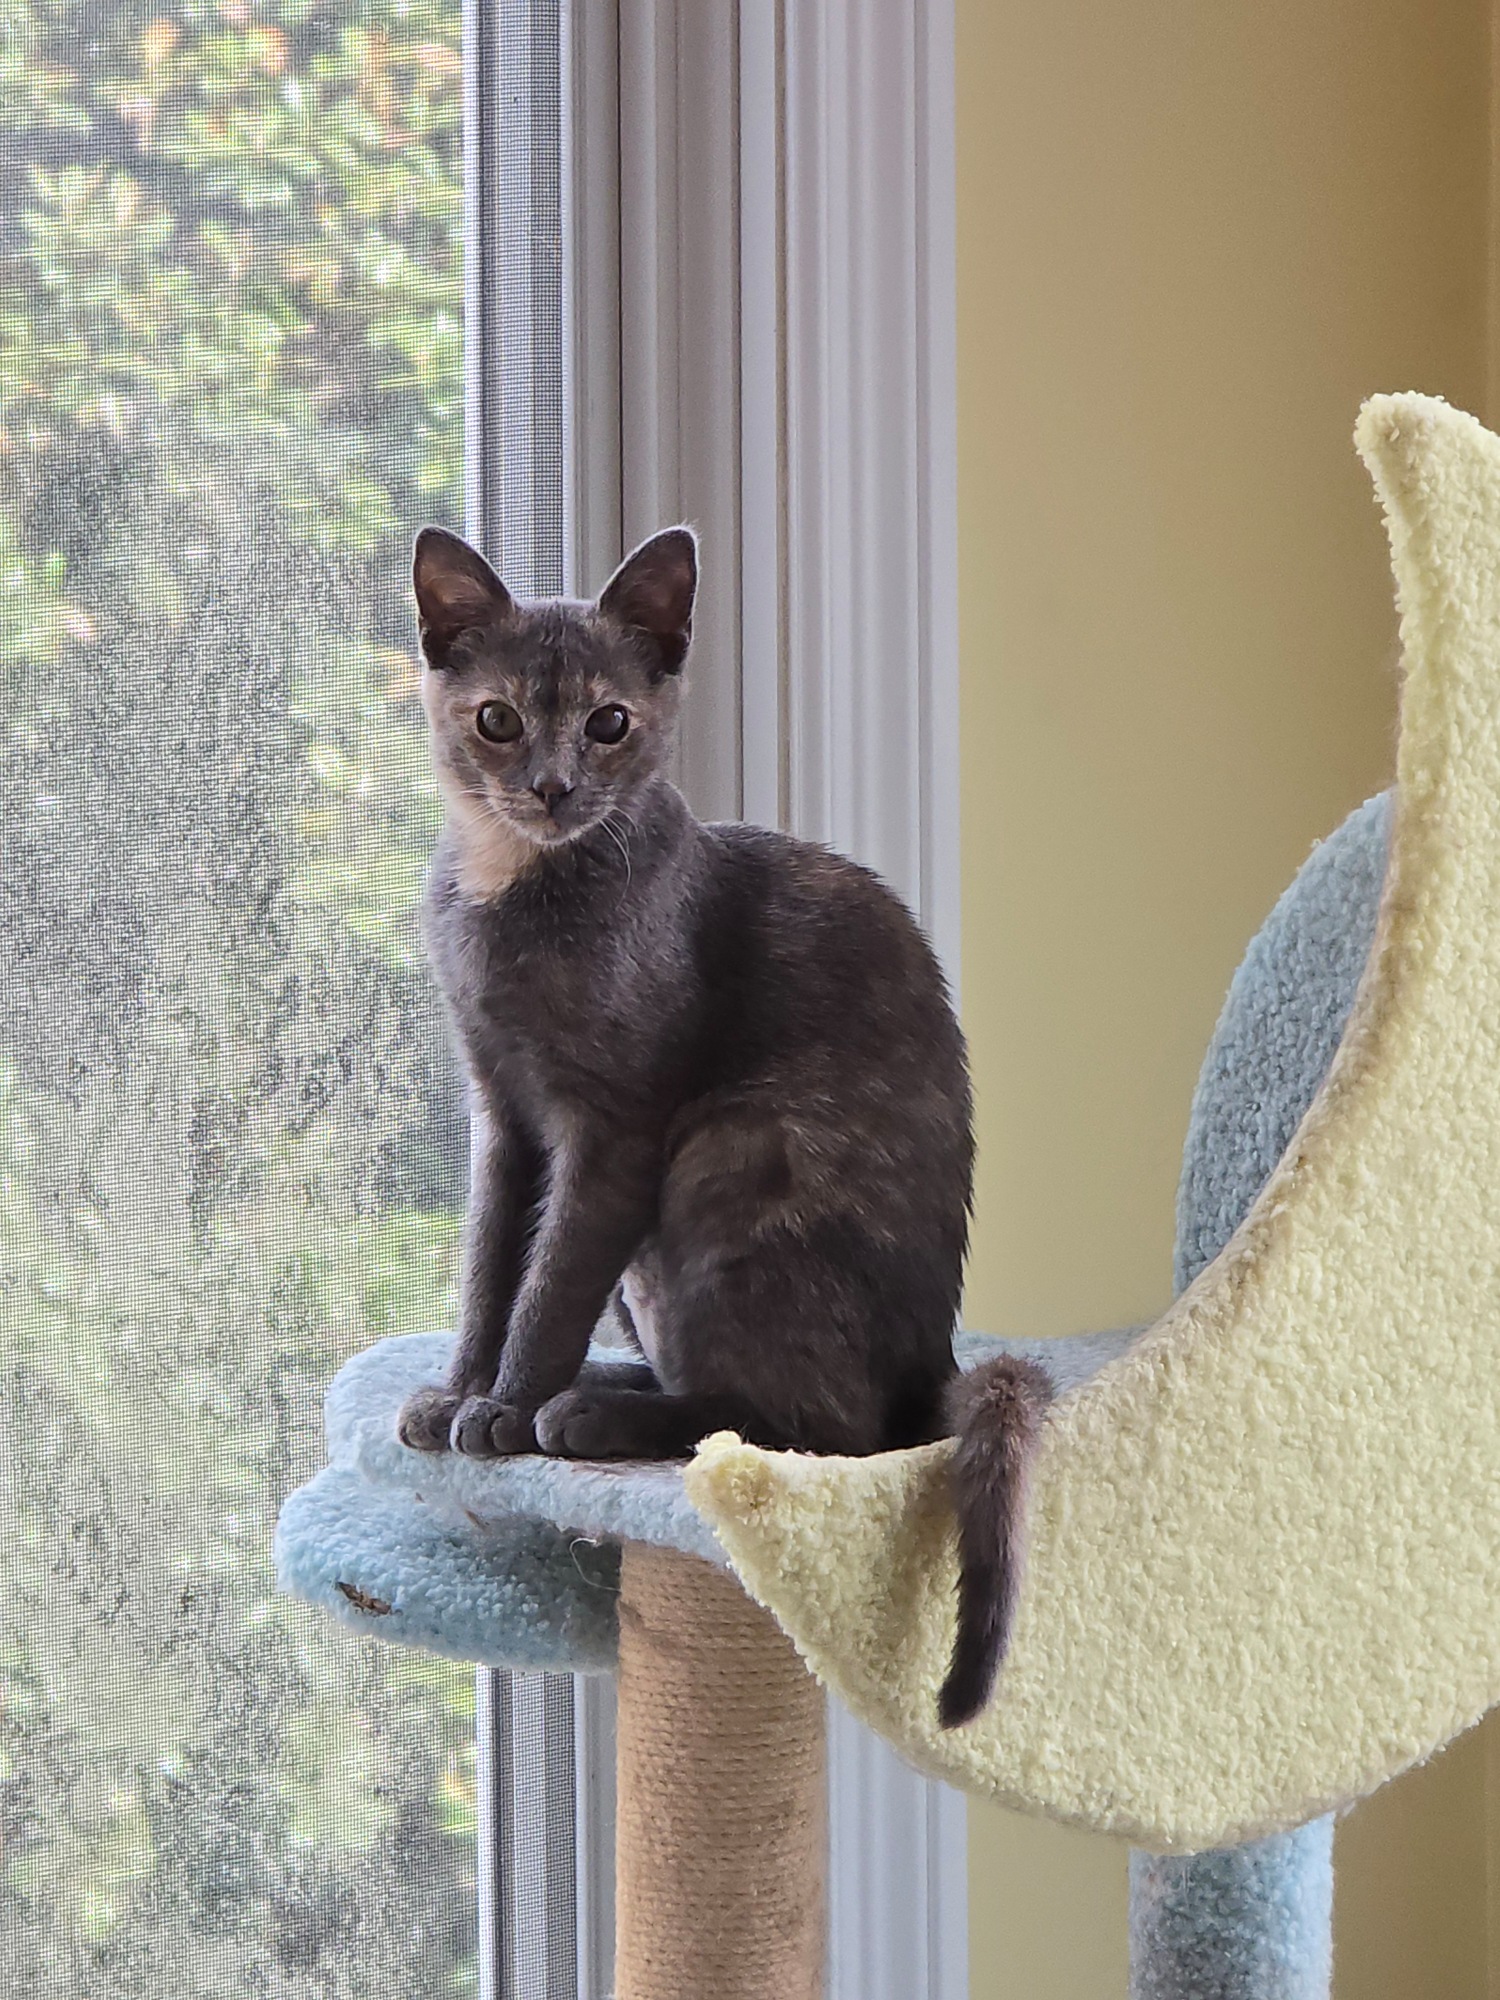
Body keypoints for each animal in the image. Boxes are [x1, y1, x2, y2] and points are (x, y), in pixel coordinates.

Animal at [393, 521, 1051, 1726]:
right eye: (497, 718)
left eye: (608, 723)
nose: (553, 785)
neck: (513, 891)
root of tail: (931, 1363)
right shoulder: (503, 1119)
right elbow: (491, 1267)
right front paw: (463, 1392)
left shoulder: (613, 1127)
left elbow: (549, 1283)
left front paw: (503, 1413)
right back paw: (601, 1390)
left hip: (732, 1162)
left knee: (816, 1430)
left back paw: (584, 1417)